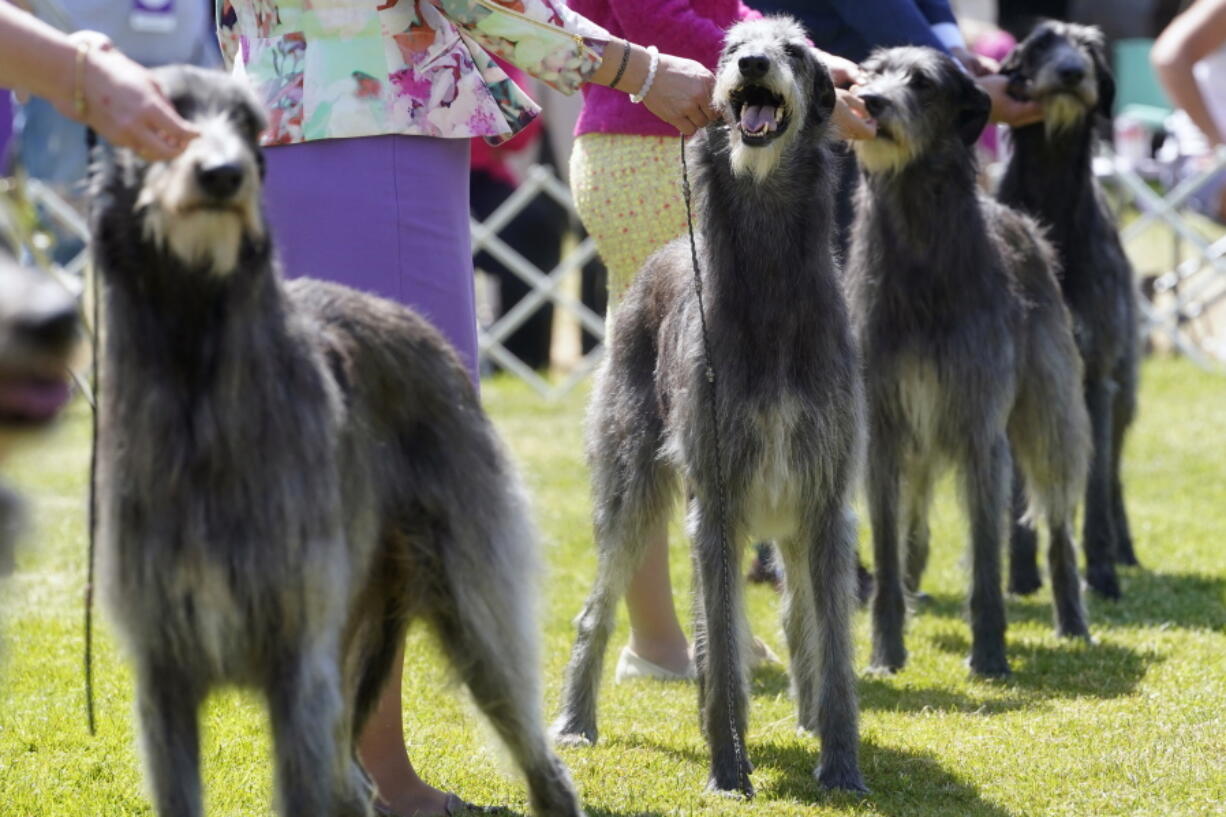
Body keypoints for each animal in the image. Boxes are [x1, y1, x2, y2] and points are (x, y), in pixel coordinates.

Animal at [87, 66, 583, 814]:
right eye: (165, 113)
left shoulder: (299, 660)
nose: (224, 175)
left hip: (471, 601)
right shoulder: (163, 670)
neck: (198, 386)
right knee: (355, 779)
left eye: (248, 123)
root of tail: (418, 324)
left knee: (535, 750)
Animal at [551, 17, 868, 794]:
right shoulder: (718, 504)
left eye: (796, 51)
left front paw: (841, 762)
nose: (751, 63)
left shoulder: (825, 501)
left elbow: (833, 643)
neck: (772, 287)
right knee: (597, 609)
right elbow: (720, 650)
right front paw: (729, 768)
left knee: (797, 618)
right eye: (730, 48)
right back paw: (575, 720)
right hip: (630, 485)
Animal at [853, 47, 1093, 677]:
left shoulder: (980, 428)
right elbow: (887, 545)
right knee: (915, 527)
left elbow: (988, 551)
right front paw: (886, 650)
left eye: (922, 82)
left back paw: (1073, 620)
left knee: (1058, 523)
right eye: (868, 74)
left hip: (1049, 412)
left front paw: (989, 654)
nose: (871, 103)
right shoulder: (883, 432)